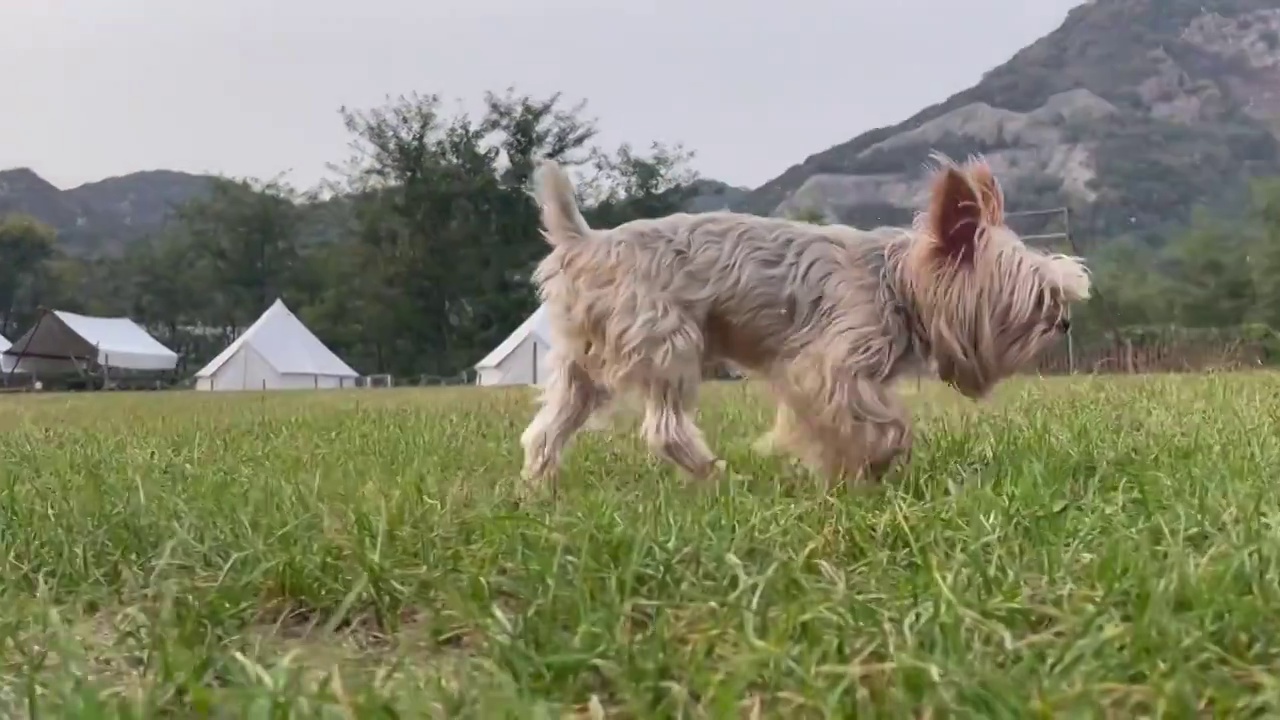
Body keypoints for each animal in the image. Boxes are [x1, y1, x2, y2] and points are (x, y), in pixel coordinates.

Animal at [519, 150, 1090, 486]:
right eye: (1040, 300)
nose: (1064, 324)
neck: (897, 281)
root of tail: (585, 243)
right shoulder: (827, 366)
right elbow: (882, 423)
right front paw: (868, 465)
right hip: (667, 340)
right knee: (664, 428)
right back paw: (714, 475)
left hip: (584, 362)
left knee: (549, 426)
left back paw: (539, 489)